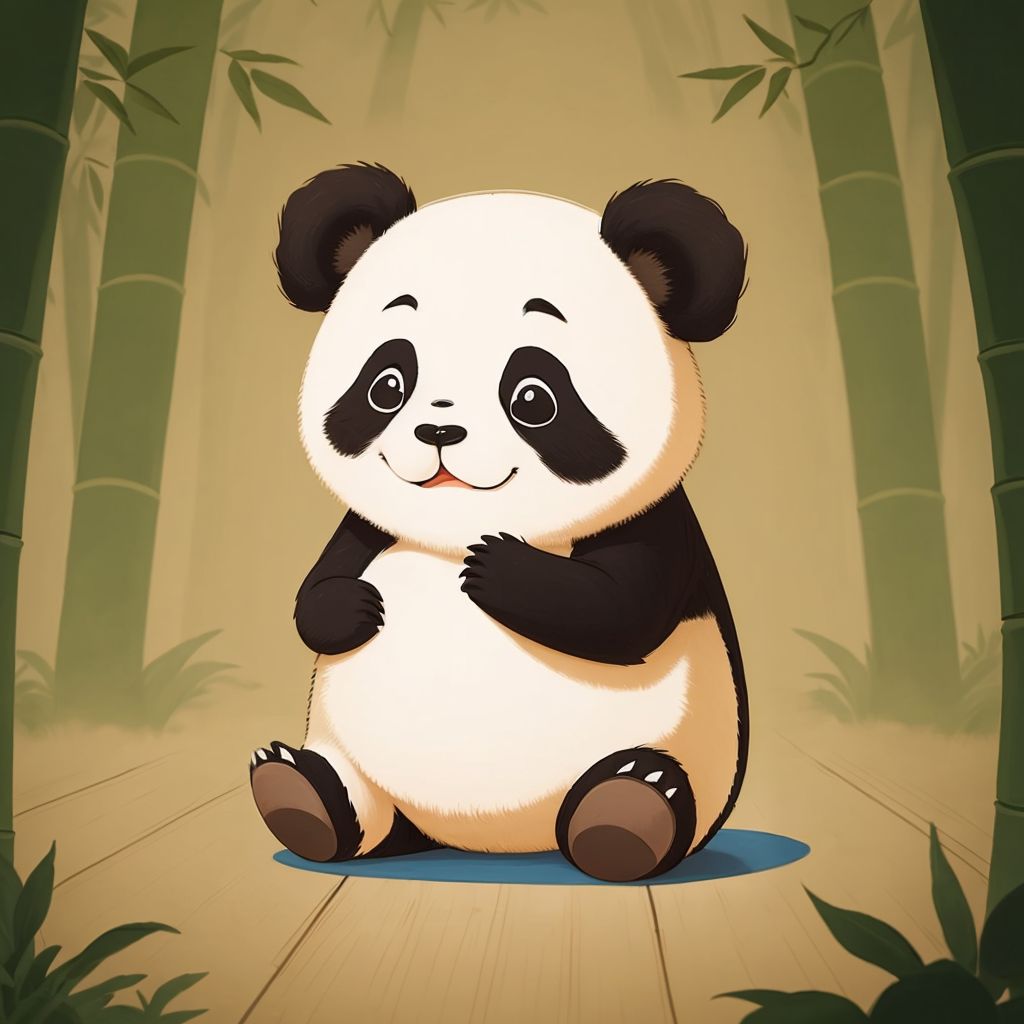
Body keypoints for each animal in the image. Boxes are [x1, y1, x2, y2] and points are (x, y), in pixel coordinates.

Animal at [249, 162, 749, 883]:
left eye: (533, 398)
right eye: (387, 383)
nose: (439, 432)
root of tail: (495, 841)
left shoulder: (656, 523)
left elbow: (621, 612)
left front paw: (494, 566)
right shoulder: (367, 530)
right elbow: (316, 592)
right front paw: (356, 606)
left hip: (696, 750)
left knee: (649, 784)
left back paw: (626, 812)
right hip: (354, 755)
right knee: (358, 803)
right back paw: (299, 796)